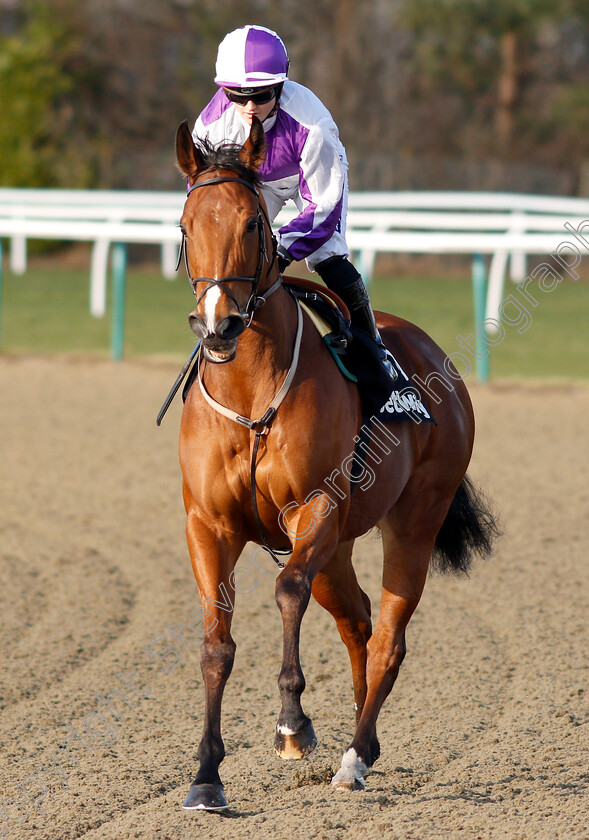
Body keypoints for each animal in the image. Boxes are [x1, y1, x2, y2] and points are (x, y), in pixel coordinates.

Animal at [171, 115, 496, 812]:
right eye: (186, 226)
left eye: (254, 225)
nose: (219, 325)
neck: (252, 395)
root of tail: (438, 361)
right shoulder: (208, 524)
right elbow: (215, 643)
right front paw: (207, 773)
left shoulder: (313, 507)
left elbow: (286, 590)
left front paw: (292, 724)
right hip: (340, 545)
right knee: (358, 620)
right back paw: (359, 733)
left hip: (414, 521)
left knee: (389, 636)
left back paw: (355, 756)